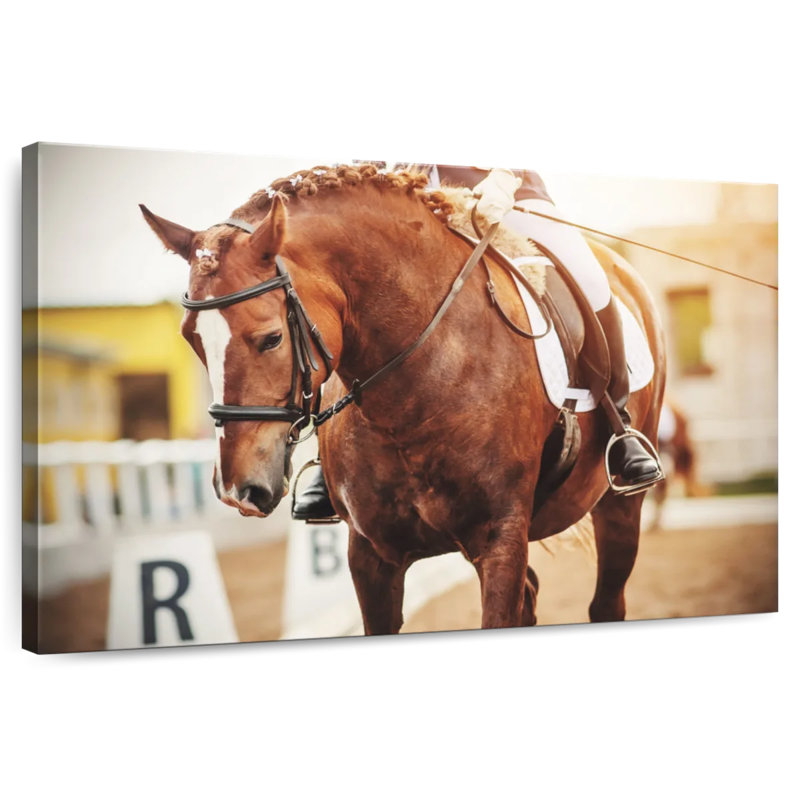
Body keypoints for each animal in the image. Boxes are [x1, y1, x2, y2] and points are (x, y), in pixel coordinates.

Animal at [140, 163, 666, 632]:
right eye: (191, 339)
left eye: (270, 339)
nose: (238, 491)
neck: (411, 406)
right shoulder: (370, 556)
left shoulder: (500, 542)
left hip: (619, 508)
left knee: (606, 601)